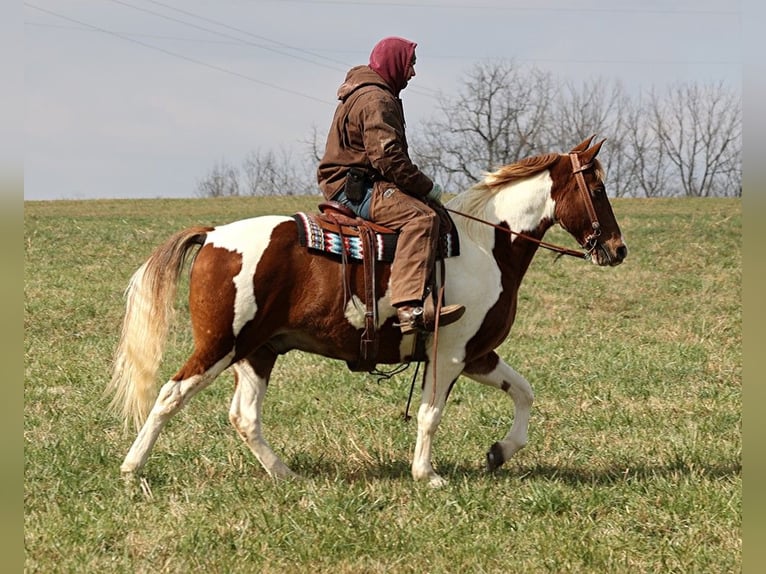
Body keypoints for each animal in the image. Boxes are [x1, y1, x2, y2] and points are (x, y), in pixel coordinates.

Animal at [112, 135, 632, 486]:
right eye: (598, 189)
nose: (617, 248)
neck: (486, 244)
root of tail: (215, 235)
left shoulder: (478, 355)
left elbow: (524, 393)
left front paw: (499, 453)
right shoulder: (449, 355)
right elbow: (430, 413)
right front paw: (427, 474)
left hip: (258, 351)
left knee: (244, 417)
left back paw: (285, 474)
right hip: (221, 344)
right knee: (170, 394)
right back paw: (133, 467)